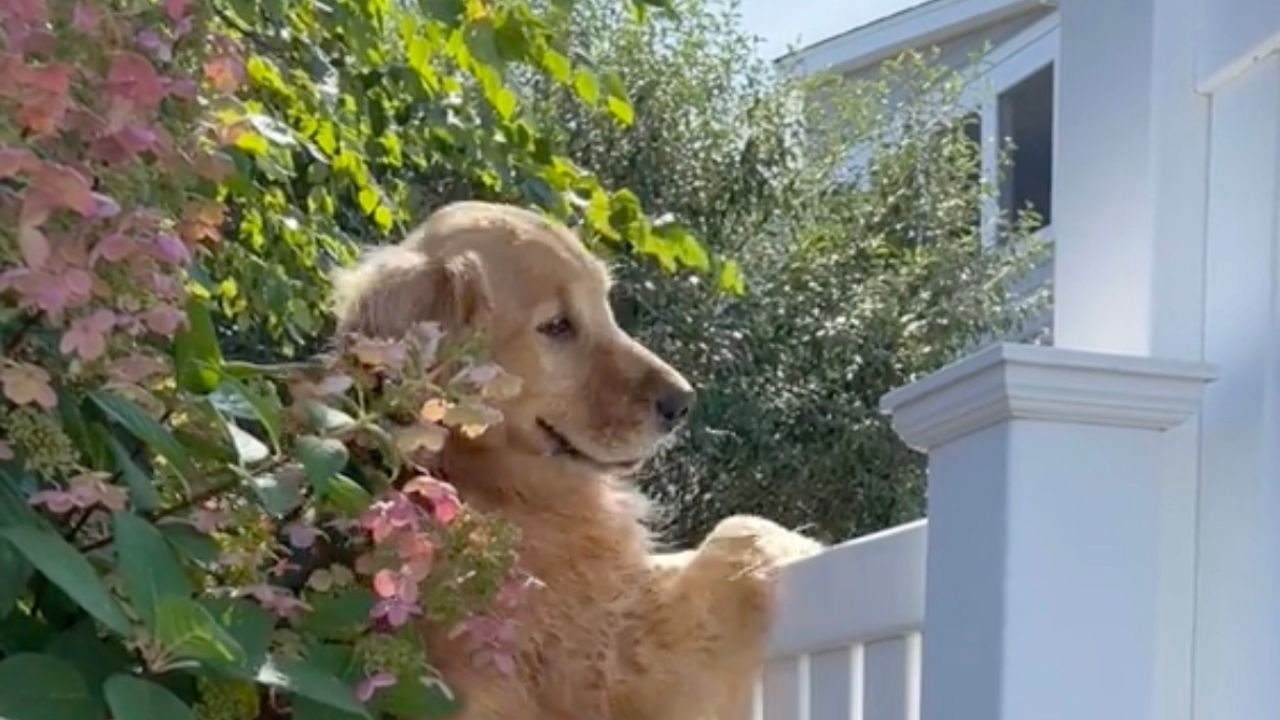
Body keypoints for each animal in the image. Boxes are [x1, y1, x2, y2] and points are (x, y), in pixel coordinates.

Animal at [332, 202, 819, 717]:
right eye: (557, 327)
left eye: (604, 308)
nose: (683, 402)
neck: (487, 476)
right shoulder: (619, 663)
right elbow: (737, 533)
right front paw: (796, 541)